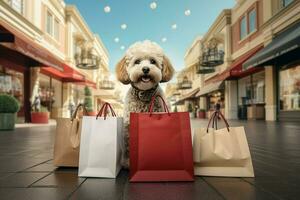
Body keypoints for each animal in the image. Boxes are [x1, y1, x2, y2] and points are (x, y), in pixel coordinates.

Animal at [116, 39, 175, 168]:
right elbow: (129, 146)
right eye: (137, 62)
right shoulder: (129, 126)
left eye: (153, 61)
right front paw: (128, 162)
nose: (146, 69)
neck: (144, 93)